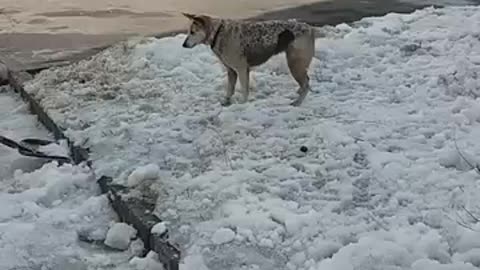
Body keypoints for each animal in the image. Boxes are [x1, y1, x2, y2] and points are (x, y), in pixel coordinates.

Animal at [181, 13, 316, 106]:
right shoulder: (231, 71)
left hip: (295, 63)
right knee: (305, 82)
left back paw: (298, 102)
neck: (217, 33)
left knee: (306, 83)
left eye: (192, 32)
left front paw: (242, 104)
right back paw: (299, 92)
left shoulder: (242, 69)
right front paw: (226, 102)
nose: (183, 45)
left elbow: (244, 89)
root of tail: (309, 28)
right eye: (188, 31)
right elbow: (230, 89)